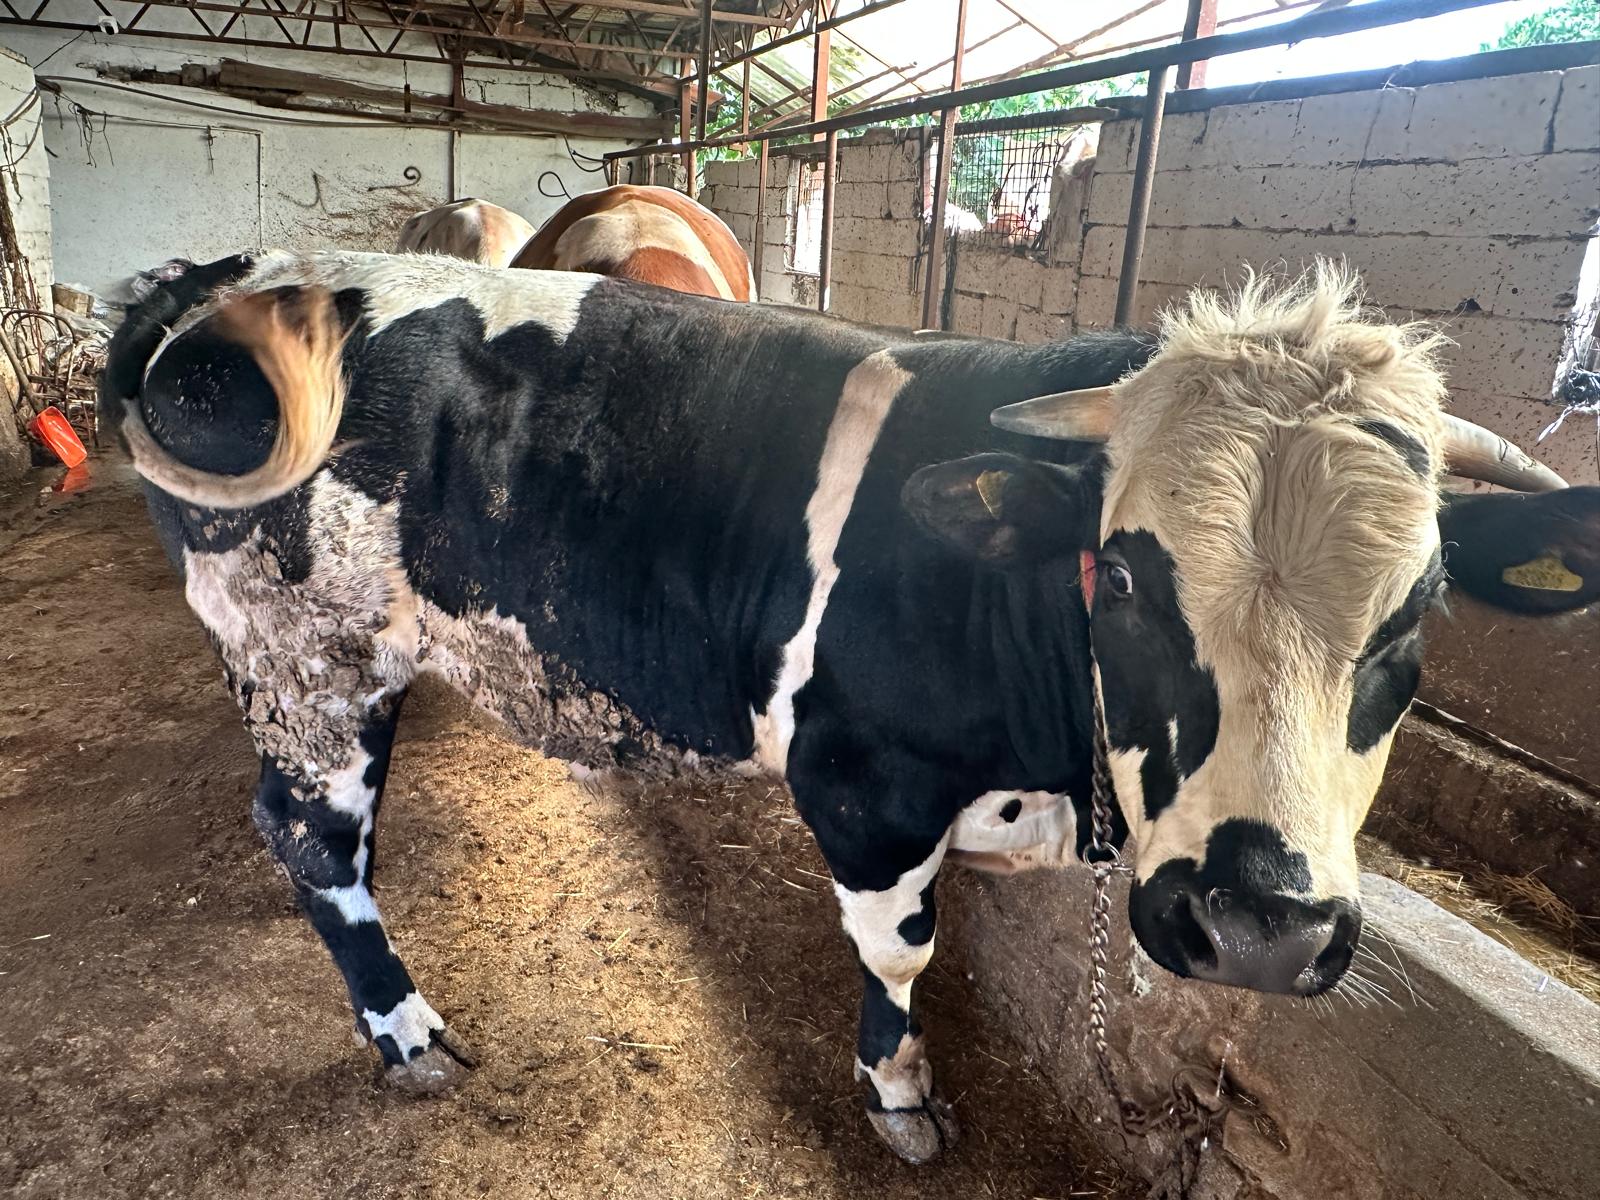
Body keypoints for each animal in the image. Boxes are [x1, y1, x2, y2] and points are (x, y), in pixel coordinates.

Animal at [102, 252, 1598, 1164]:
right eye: (1122, 577)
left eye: (1418, 616)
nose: (1258, 926)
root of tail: (228, 283)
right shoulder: (862, 780)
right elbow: (900, 951)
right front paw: (902, 1095)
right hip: (311, 654)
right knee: (311, 839)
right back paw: (405, 1028)